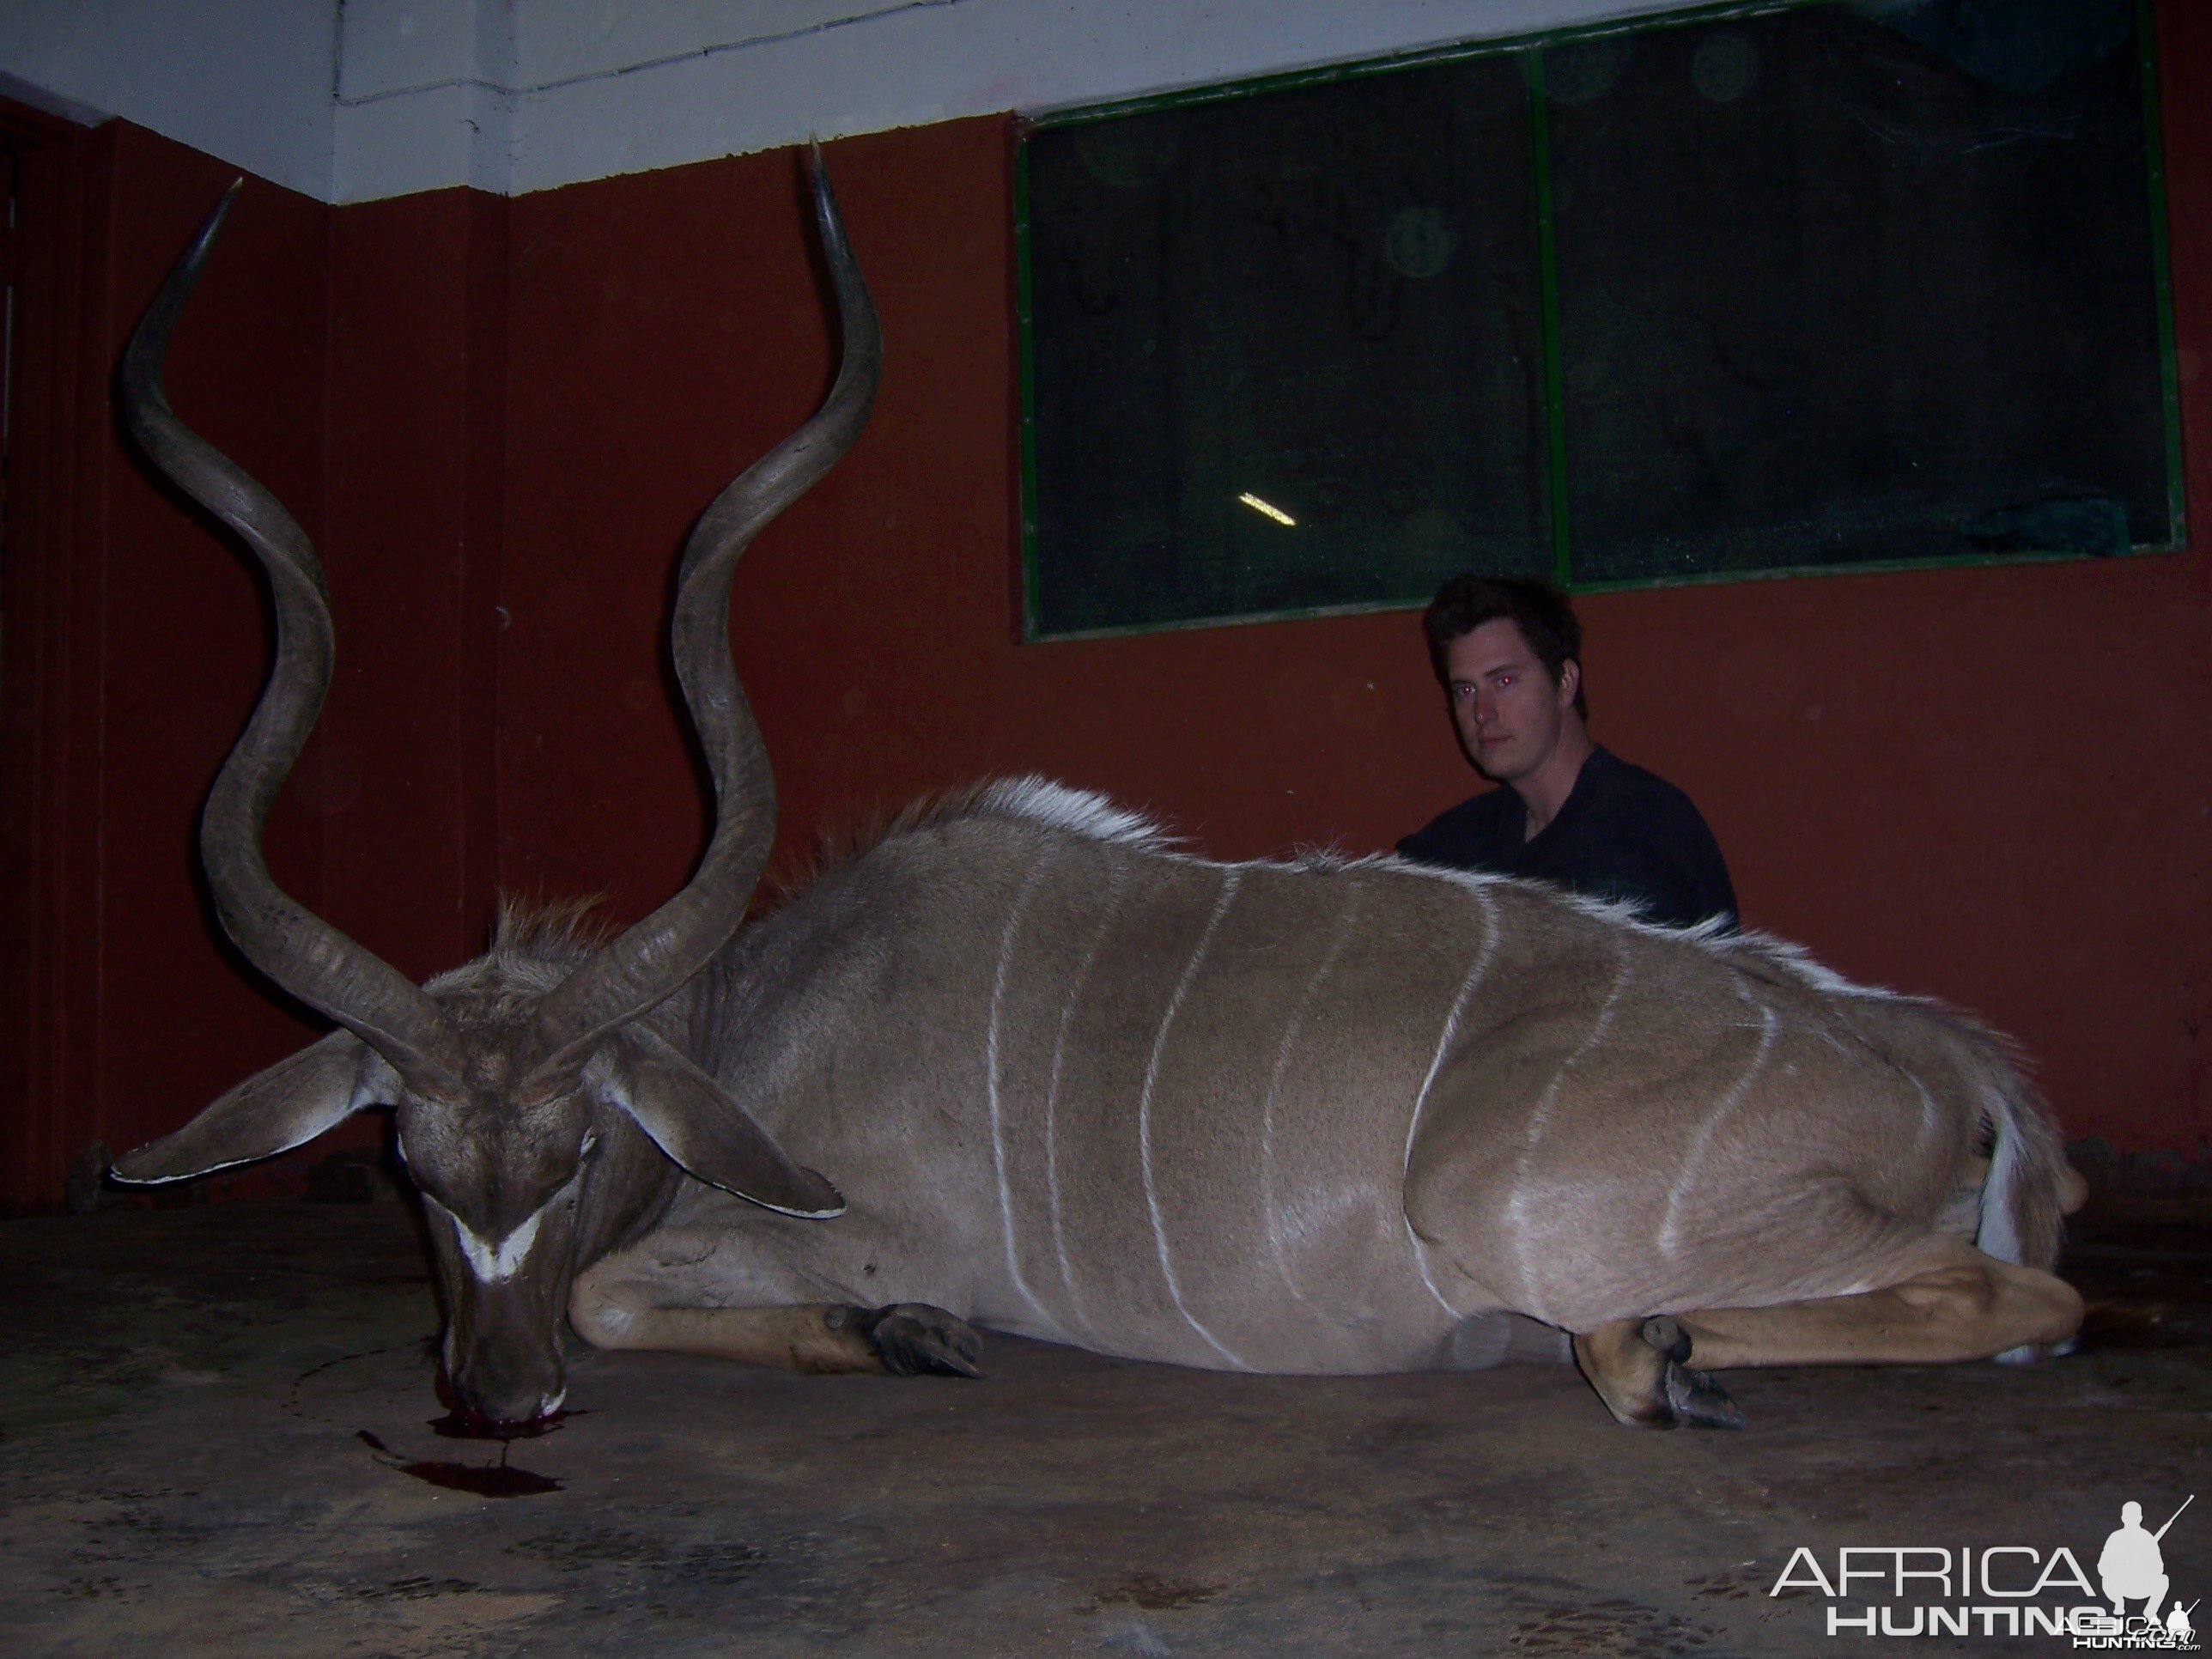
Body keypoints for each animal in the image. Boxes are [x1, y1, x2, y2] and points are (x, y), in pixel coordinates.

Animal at [112, 155, 2079, 1433]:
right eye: (406, 1160)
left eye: (584, 1144)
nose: (496, 1401)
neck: (762, 1026)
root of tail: (1953, 1064)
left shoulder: (856, 1224)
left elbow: (619, 1288)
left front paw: (900, 1336)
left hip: (1521, 1206)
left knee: (2020, 1300)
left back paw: (1654, 1356)